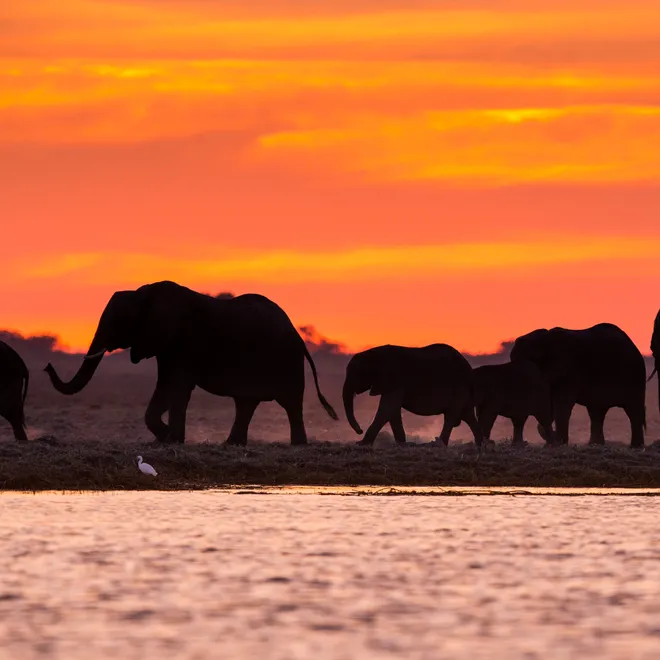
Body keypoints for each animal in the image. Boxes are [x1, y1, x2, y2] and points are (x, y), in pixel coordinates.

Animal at [44, 281, 338, 445]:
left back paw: (297, 445)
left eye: (118, 321)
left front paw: (171, 439)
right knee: (246, 402)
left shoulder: (183, 342)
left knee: (290, 403)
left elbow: (178, 387)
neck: (144, 293)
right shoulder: (166, 345)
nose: (47, 366)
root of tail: (297, 334)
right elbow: (167, 387)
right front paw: (166, 439)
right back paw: (232, 445)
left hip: (285, 359)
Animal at [342, 344, 482, 448]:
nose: (359, 430)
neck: (373, 353)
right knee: (467, 415)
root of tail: (469, 369)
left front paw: (361, 444)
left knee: (452, 416)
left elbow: (387, 408)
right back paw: (480, 445)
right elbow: (392, 411)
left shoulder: (394, 380)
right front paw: (402, 444)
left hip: (459, 386)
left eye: (357, 373)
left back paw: (437, 445)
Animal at [510, 323, 646, 448]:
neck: (544, 340)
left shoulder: (570, 371)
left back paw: (636, 447)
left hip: (635, 376)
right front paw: (551, 442)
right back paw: (595, 445)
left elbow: (562, 404)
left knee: (633, 411)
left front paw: (558, 443)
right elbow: (550, 404)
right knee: (597, 411)